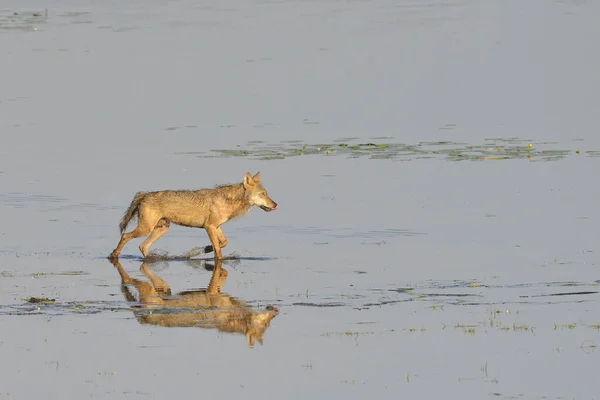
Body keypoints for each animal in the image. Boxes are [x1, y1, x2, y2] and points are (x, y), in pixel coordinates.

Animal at [108, 172, 276, 260]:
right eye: (263, 194)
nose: (275, 204)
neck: (229, 201)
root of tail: (144, 194)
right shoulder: (209, 227)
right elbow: (219, 251)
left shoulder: (216, 227)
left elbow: (223, 243)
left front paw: (206, 248)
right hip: (146, 229)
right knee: (125, 236)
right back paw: (114, 254)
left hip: (161, 229)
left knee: (142, 246)